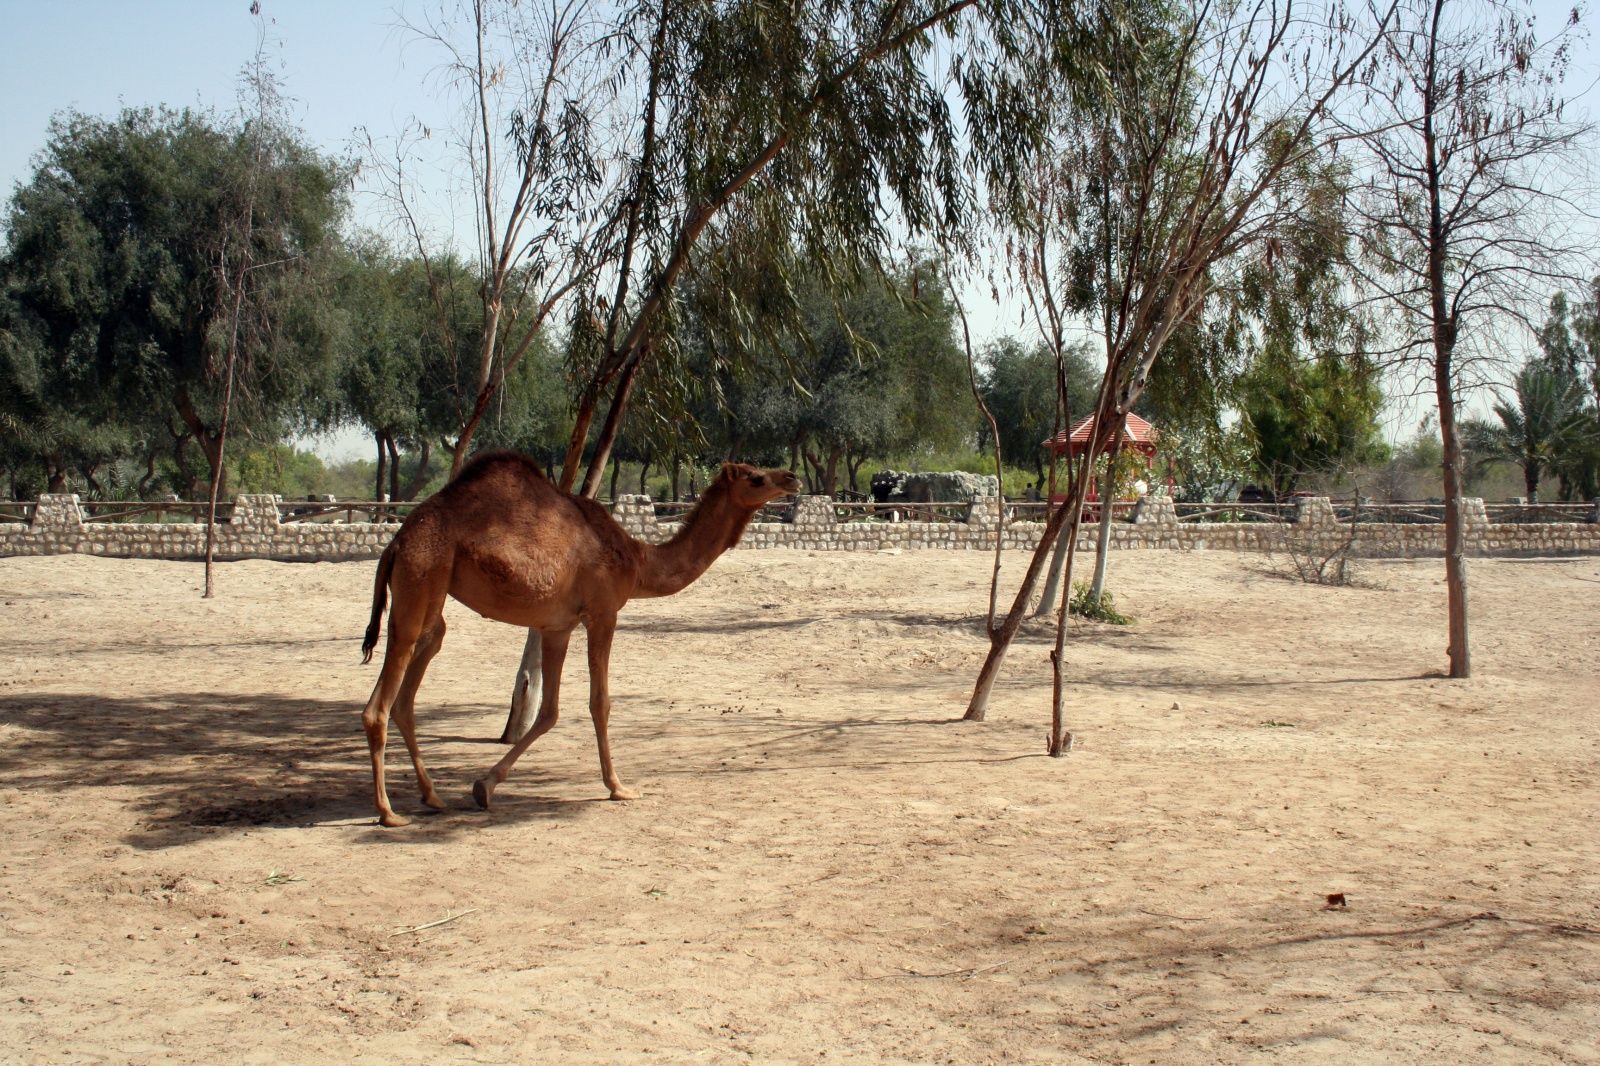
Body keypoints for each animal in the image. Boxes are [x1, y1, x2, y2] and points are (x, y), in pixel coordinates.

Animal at [360, 451, 800, 825]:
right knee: (380, 702)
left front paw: (484, 786)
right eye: (756, 478)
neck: (637, 559)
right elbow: (599, 703)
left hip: (430, 598)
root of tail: (395, 543)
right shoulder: (603, 613)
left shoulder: (558, 626)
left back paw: (432, 796)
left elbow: (549, 711)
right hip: (422, 573)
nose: (792, 478)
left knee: (411, 685)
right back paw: (387, 812)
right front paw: (619, 787)